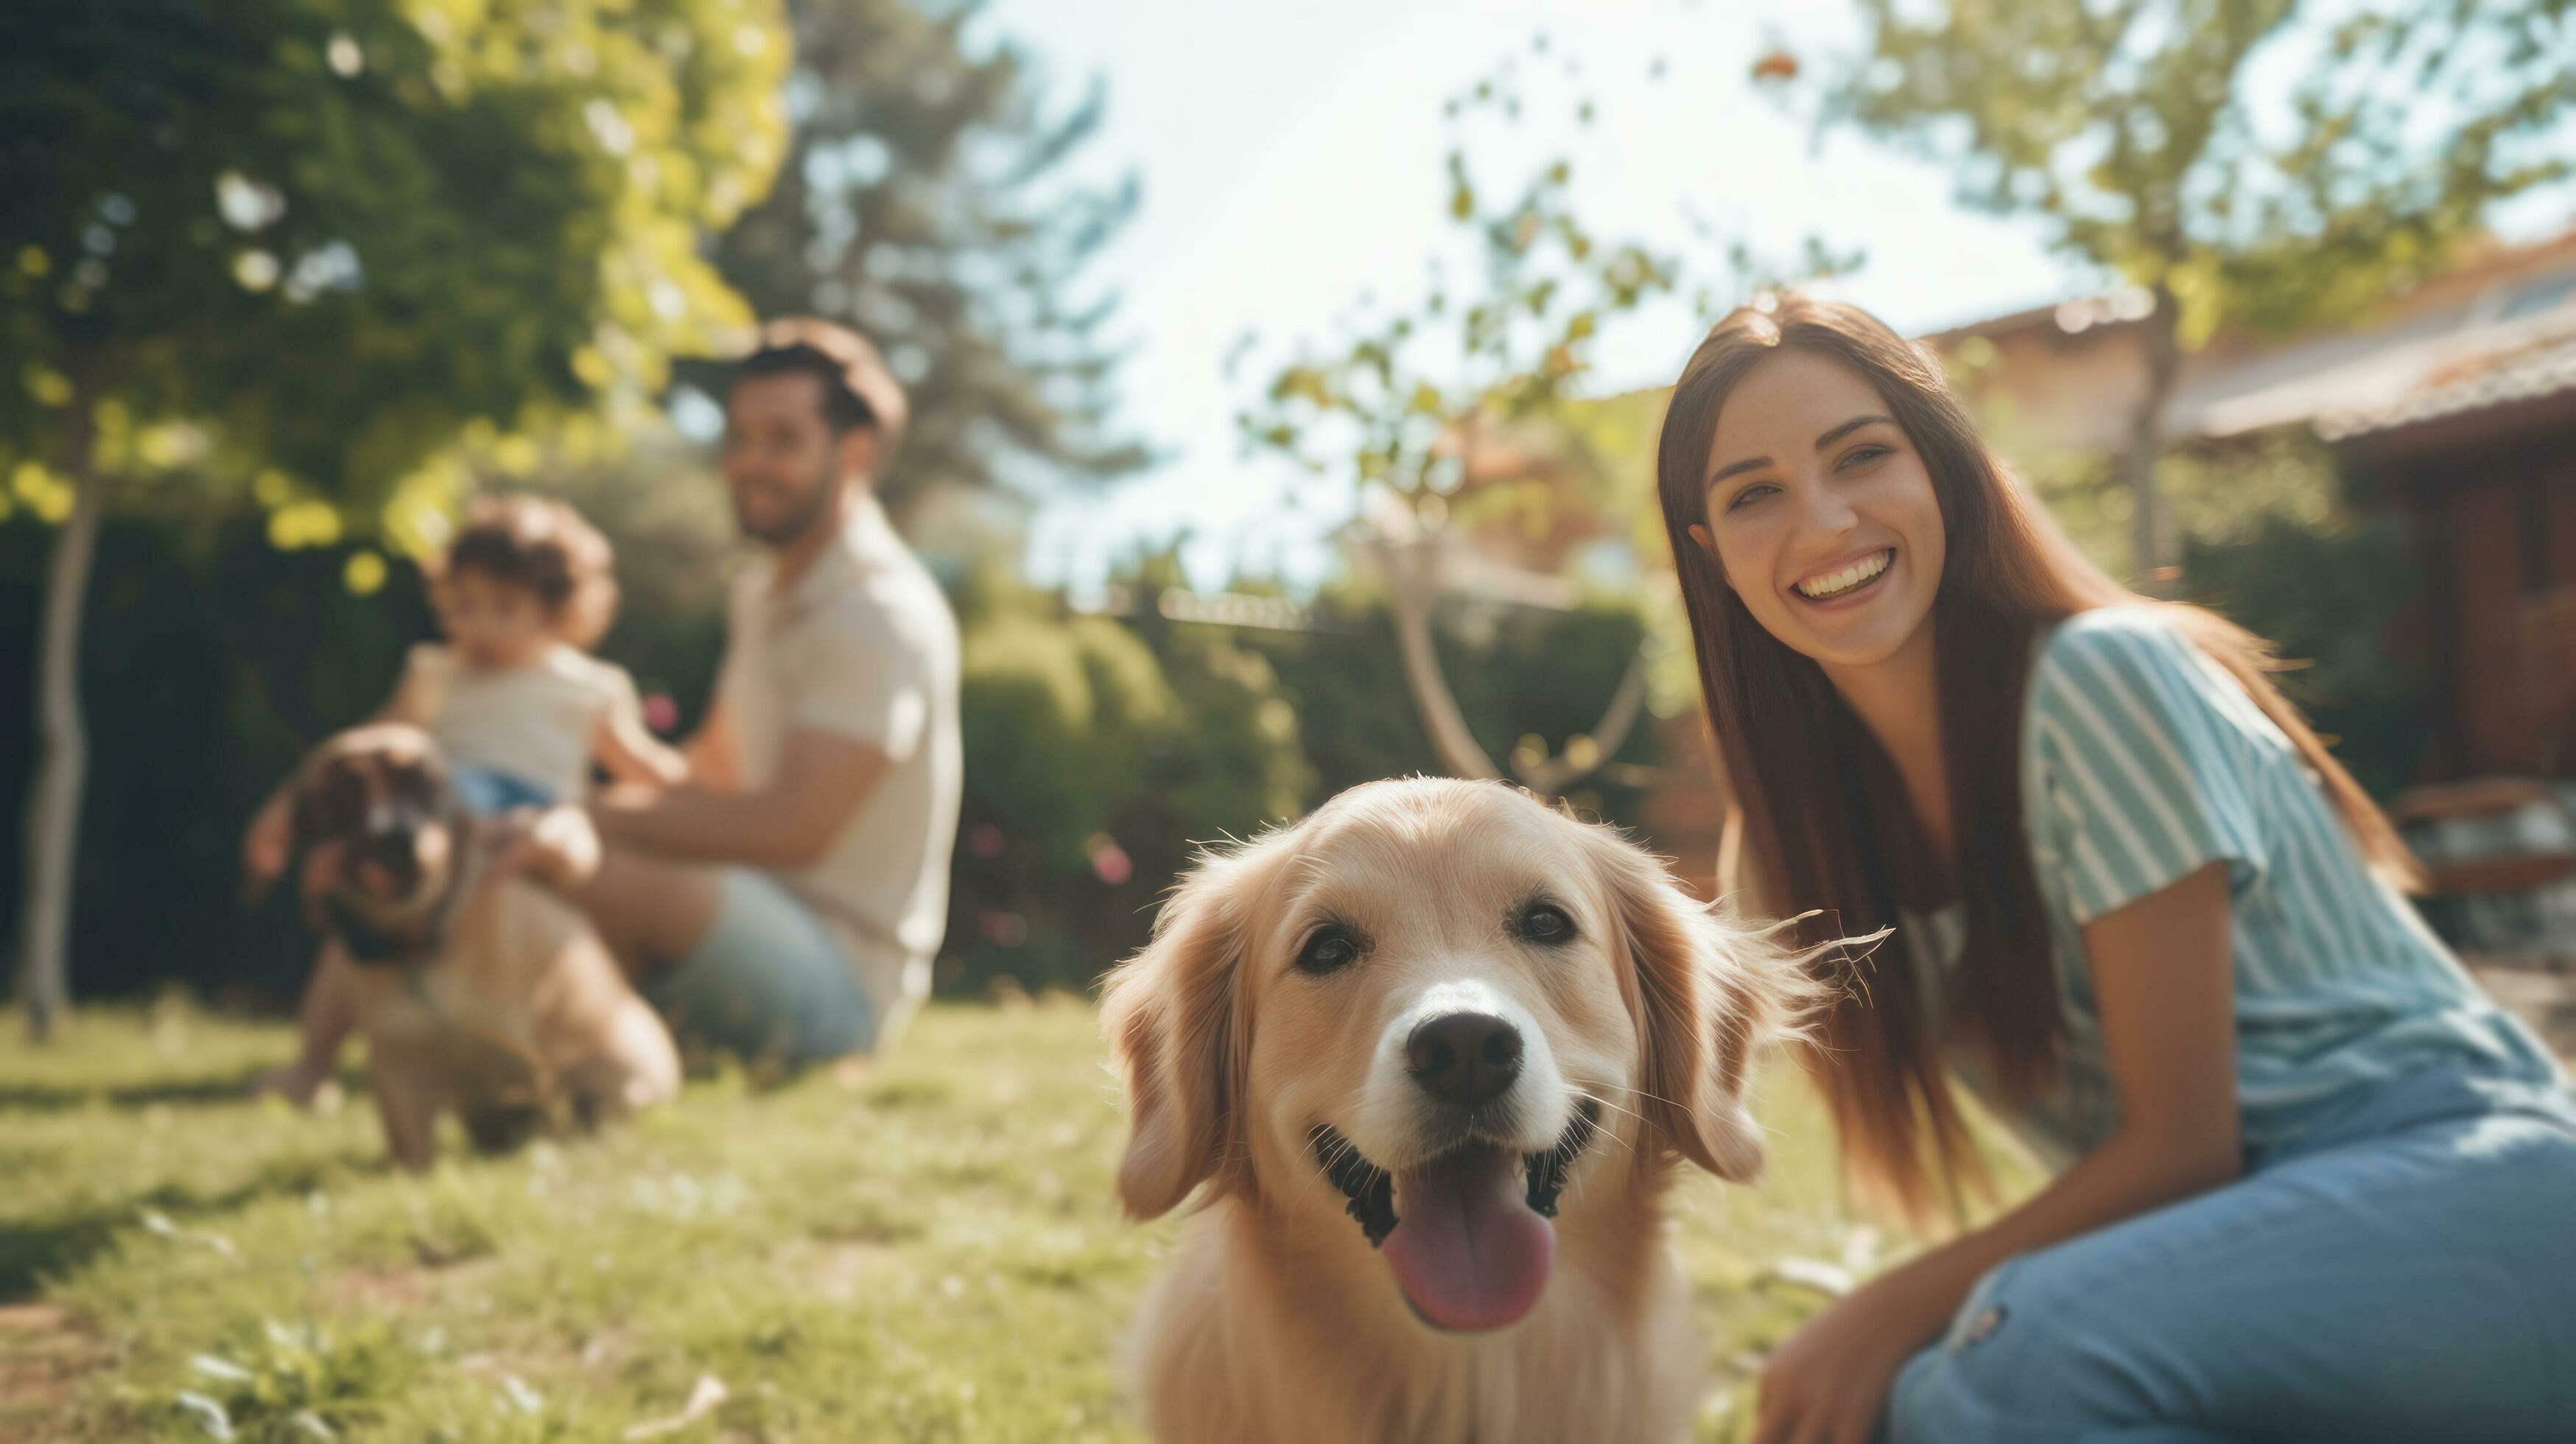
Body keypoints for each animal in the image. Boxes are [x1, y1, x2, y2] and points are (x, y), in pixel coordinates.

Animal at [287, 727, 680, 1166]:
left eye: (423, 784)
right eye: (344, 791)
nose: (396, 835)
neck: (417, 943)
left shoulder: (529, 1058)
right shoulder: (400, 1079)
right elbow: (412, 1159)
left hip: (623, 1070)